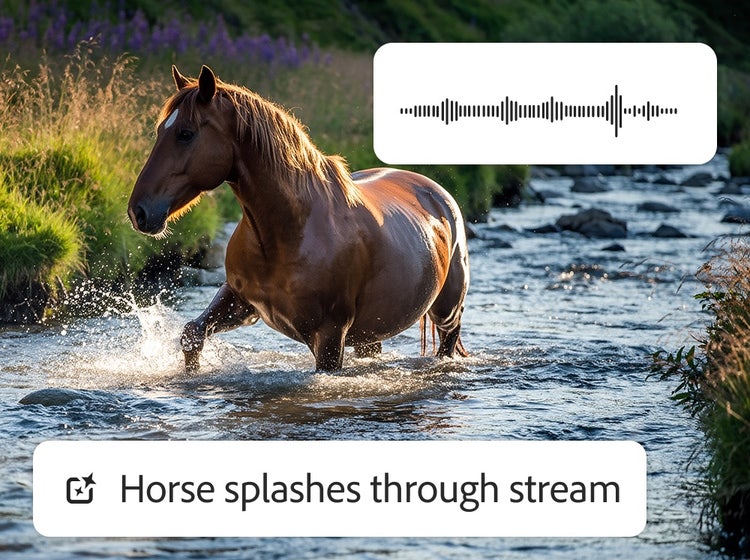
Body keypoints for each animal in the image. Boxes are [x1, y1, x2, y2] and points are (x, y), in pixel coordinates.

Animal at [128, 65, 469, 372]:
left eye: (185, 134)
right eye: (160, 131)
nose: (138, 211)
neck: (289, 232)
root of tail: (440, 196)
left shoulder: (330, 337)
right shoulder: (241, 301)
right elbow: (192, 334)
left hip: (446, 313)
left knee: (447, 342)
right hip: (370, 333)